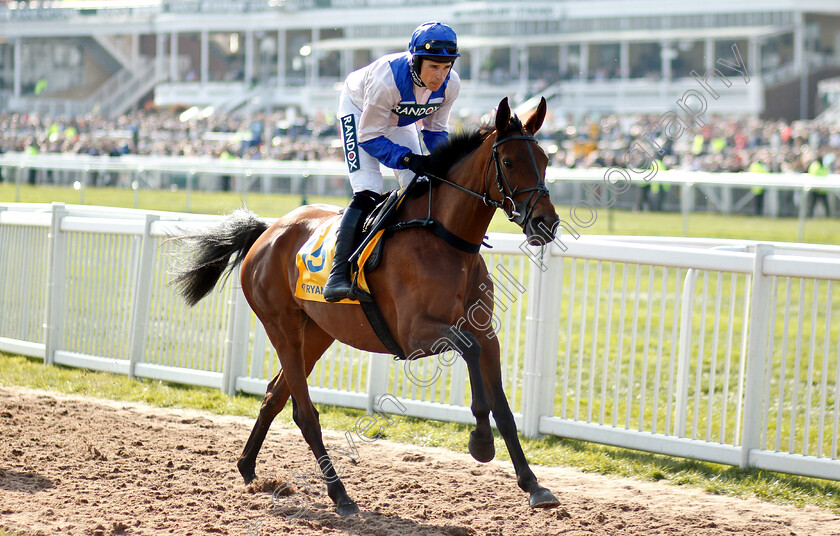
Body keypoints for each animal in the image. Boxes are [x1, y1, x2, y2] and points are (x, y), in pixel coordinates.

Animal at [171, 96, 560, 516]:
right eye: (509, 162)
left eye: (545, 160)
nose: (546, 222)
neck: (445, 238)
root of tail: (267, 231)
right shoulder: (416, 335)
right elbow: (470, 354)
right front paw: (481, 442)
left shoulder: (486, 333)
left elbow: (502, 405)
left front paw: (533, 484)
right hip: (282, 327)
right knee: (303, 411)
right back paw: (339, 494)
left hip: (318, 332)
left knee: (275, 396)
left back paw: (247, 466)